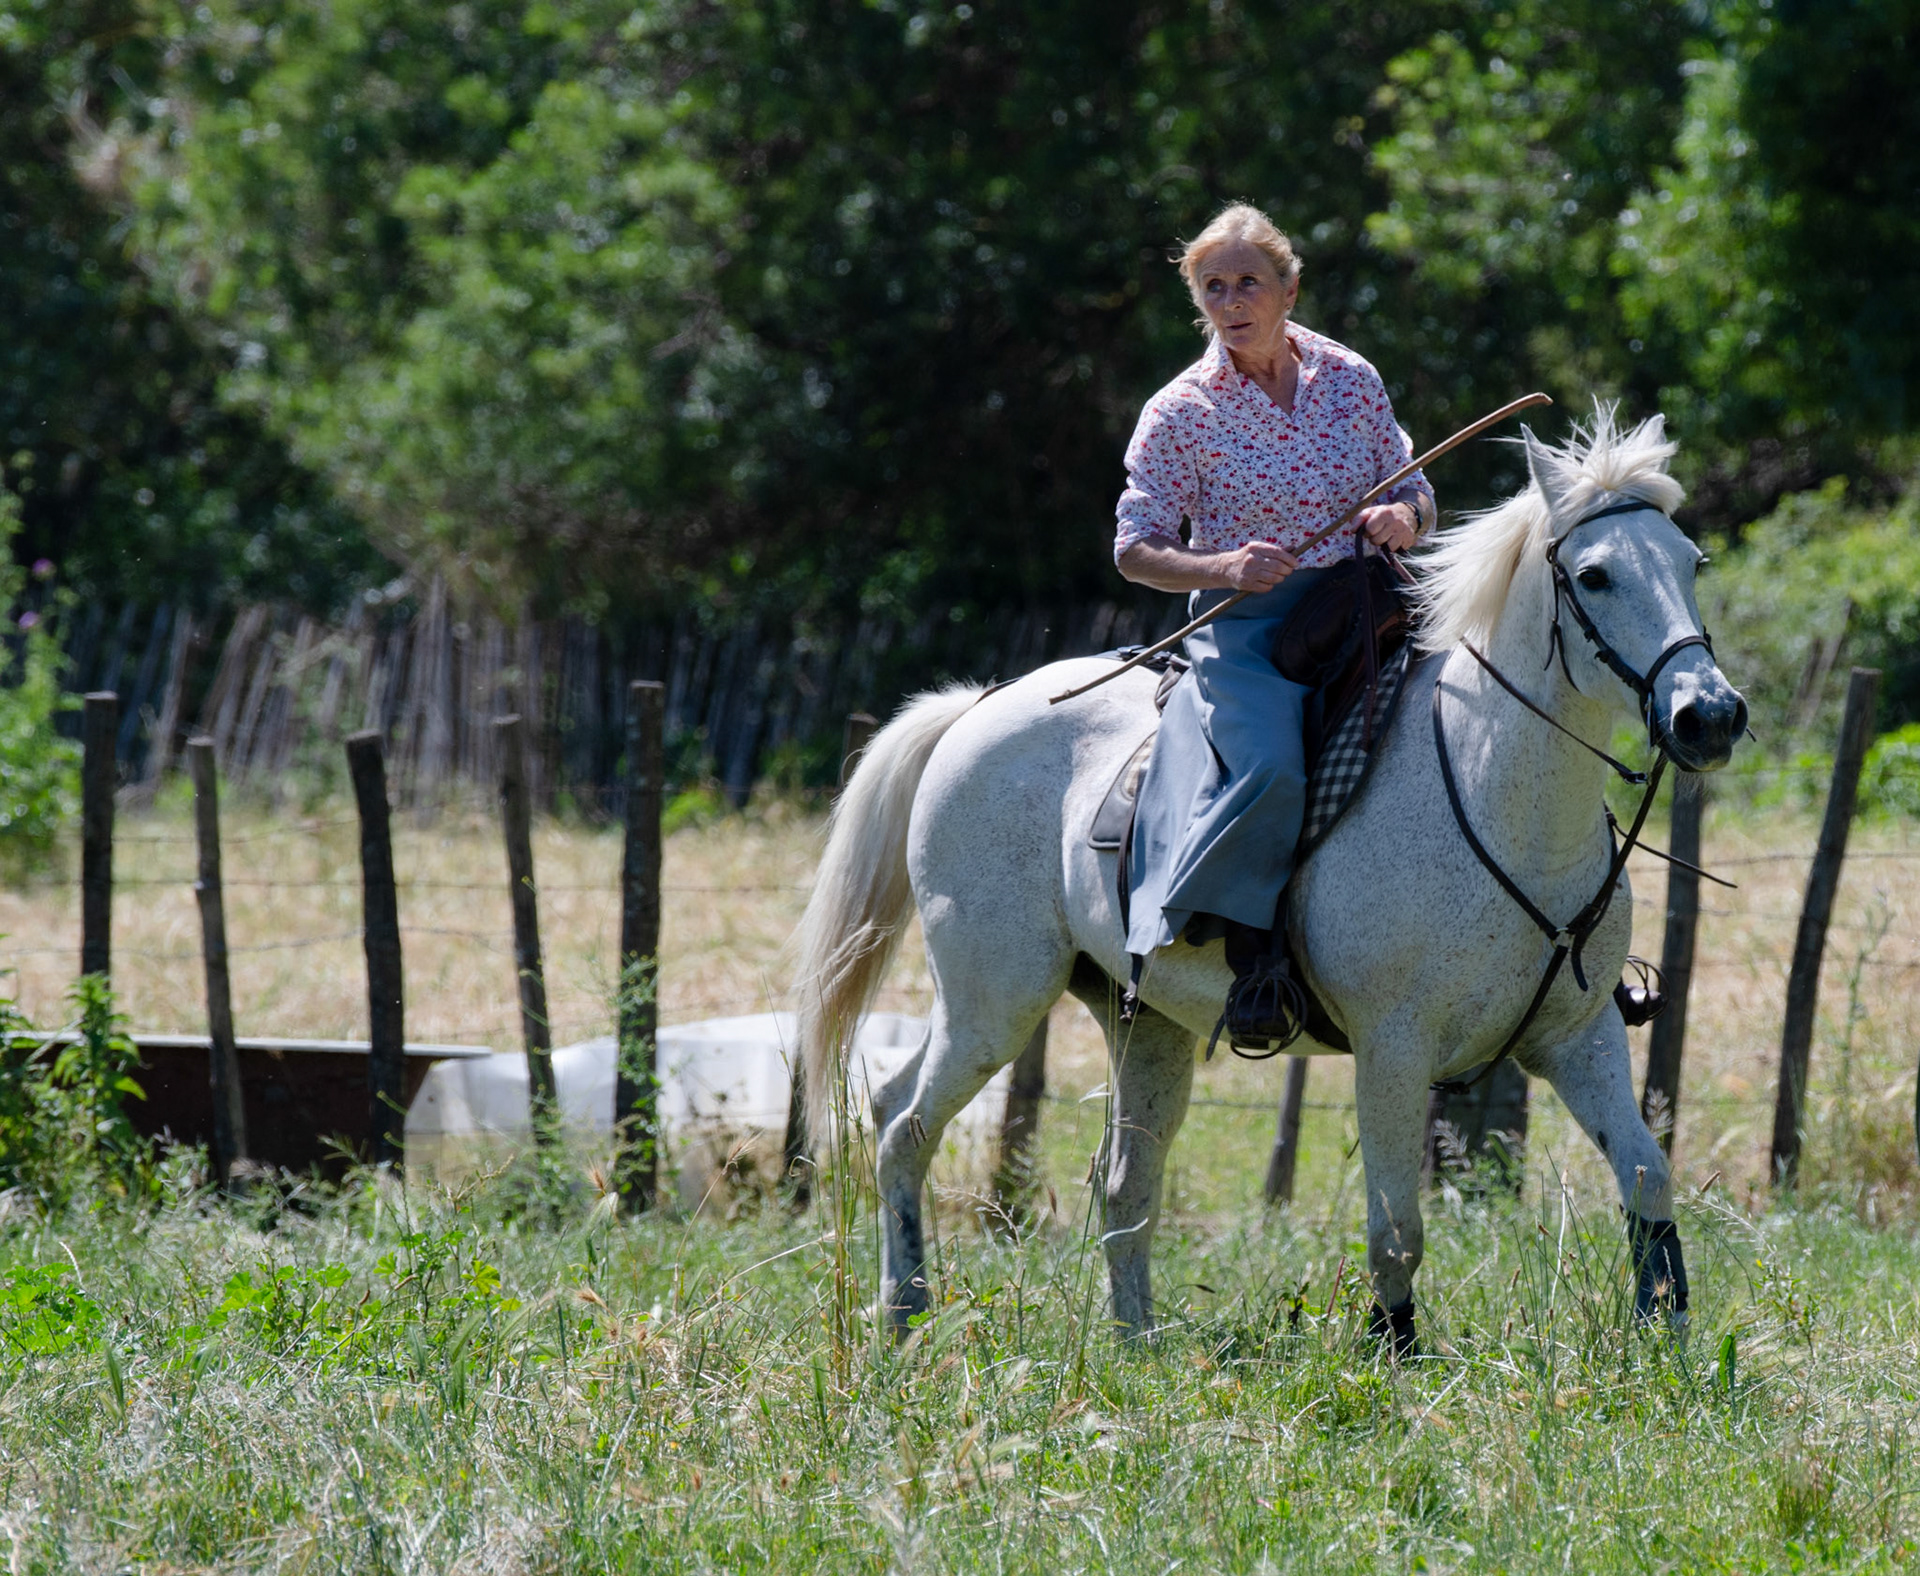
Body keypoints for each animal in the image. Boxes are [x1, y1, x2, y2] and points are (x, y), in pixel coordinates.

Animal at [792, 408, 1748, 1351]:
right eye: (1594, 575)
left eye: (1689, 562)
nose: (1709, 716)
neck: (1497, 794)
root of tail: (980, 706)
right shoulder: (1393, 1053)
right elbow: (1397, 1229)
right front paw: (1393, 1352)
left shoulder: (1580, 1037)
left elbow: (1647, 1176)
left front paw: (1667, 1335)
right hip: (993, 1001)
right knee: (902, 1125)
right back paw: (906, 1312)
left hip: (1140, 1024)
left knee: (1121, 1182)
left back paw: (1135, 1344)